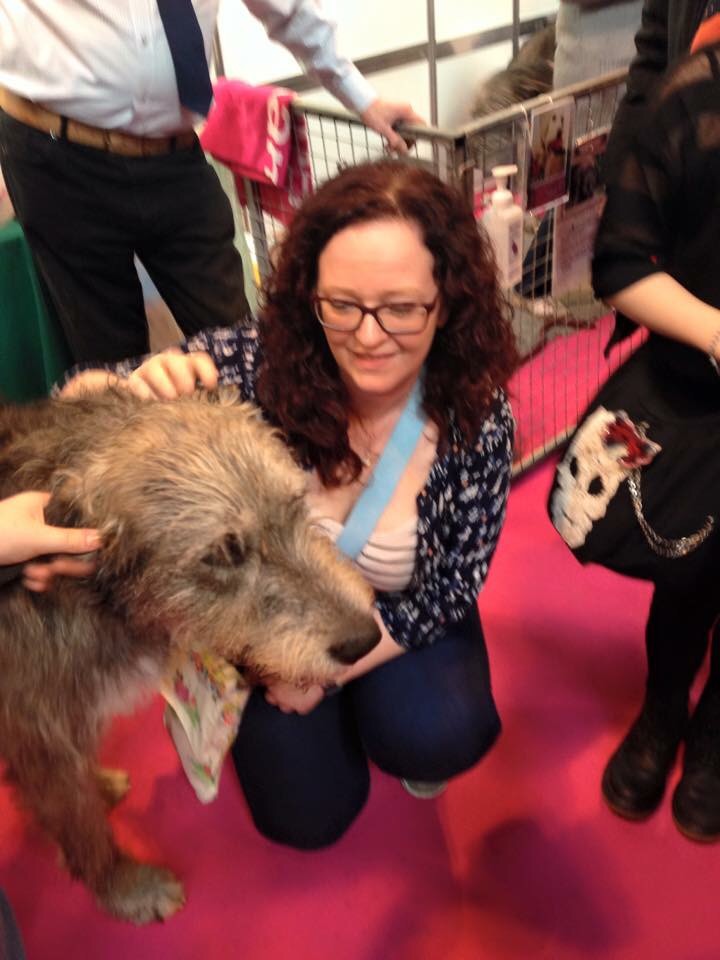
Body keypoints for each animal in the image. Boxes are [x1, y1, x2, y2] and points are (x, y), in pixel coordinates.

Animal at [0, 388, 380, 923]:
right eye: (224, 554)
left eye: (296, 503)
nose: (364, 639)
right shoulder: (39, 737)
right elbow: (81, 827)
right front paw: (126, 887)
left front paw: (98, 786)